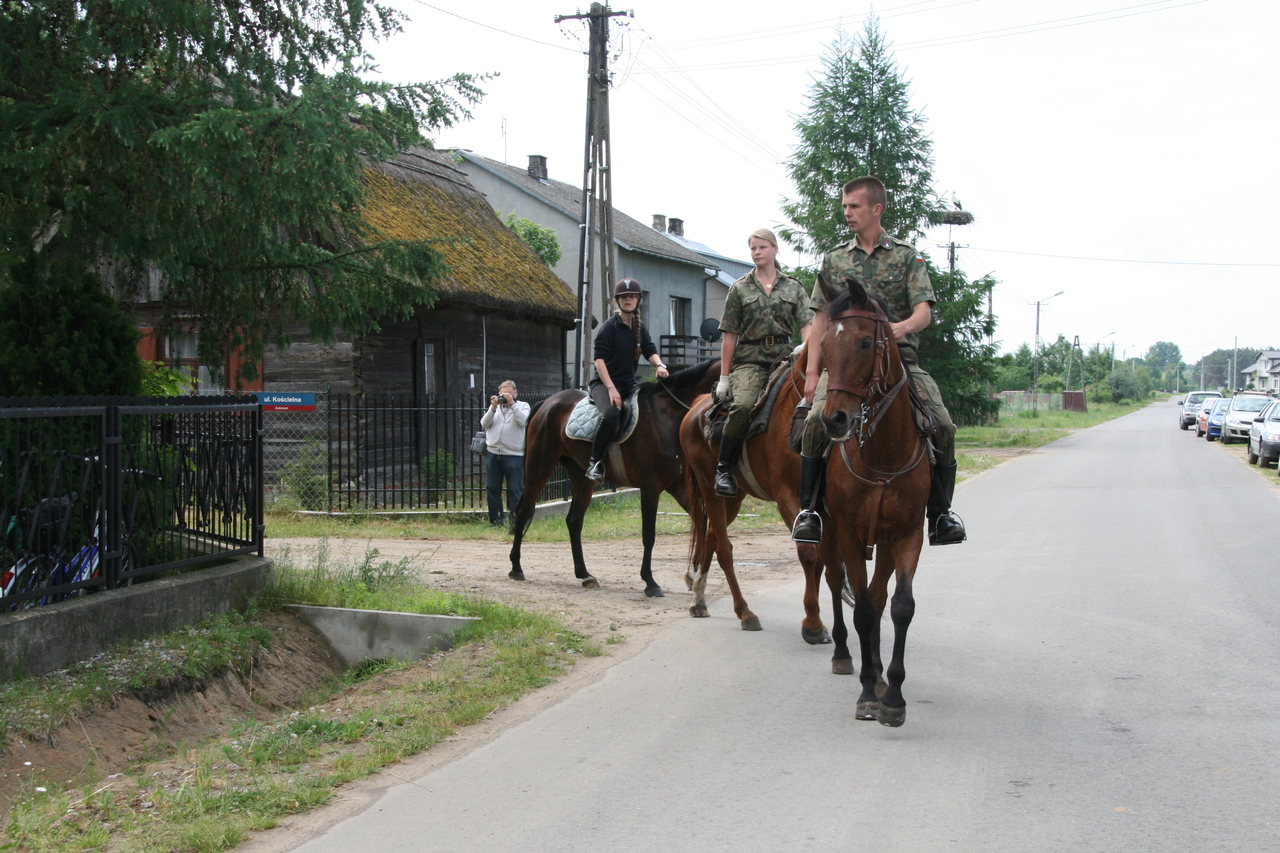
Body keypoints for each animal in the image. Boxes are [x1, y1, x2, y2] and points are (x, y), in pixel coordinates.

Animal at [506, 356, 721, 594]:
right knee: (524, 511)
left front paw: (694, 573)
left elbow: (702, 521)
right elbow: (649, 534)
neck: (667, 415)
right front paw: (650, 582)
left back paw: (584, 574)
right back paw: (516, 567)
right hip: (540, 466)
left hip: (580, 477)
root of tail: (547, 402)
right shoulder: (650, 488)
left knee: (574, 521)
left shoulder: (678, 486)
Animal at [675, 348, 834, 640]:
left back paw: (699, 599)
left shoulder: (817, 503)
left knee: (711, 538)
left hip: (734, 498)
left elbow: (819, 559)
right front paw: (814, 624)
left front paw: (813, 617)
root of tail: (696, 408)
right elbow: (807, 553)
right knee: (724, 549)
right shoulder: (786, 497)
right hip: (710, 489)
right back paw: (744, 612)